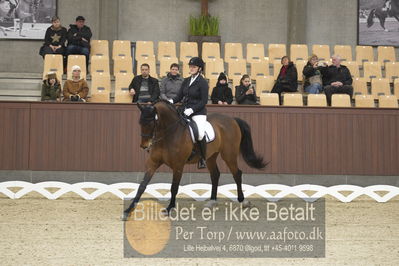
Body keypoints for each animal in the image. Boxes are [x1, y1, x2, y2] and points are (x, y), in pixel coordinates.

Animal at [120, 100, 268, 220]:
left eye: (152, 122)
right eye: (140, 122)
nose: (144, 146)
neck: (169, 133)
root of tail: (232, 119)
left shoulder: (178, 165)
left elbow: (174, 187)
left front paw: (169, 208)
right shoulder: (153, 163)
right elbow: (142, 186)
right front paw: (128, 211)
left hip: (229, 155)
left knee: (237, 174)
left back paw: (243, 201)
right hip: (211, 156)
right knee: (215, 174)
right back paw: (212, 201)